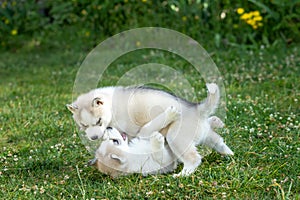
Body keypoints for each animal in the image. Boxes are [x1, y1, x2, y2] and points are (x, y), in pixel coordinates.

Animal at [68, 83, 234, 176]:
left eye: (98, 121)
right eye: (83, 125)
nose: (94, 138)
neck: (111, 107)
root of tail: (196, 108)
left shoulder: (133, 131)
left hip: (176, 137)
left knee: (194, 158)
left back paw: (183, 174)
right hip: (205, 134)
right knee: (218, 140)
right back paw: (228, 153)